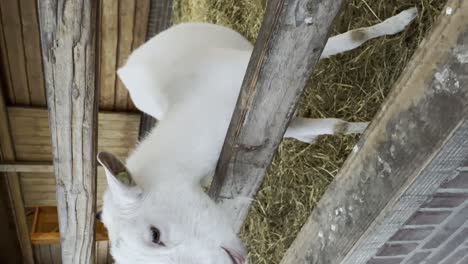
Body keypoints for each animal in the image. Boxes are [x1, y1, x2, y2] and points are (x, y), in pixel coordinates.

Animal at [96, 7, 416, 262]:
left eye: (155, 235)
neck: (195, 101)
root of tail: (126, 66)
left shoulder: (245, 69)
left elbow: (355, 37)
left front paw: (403, 20)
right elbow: (319, 126)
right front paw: (361, 129)